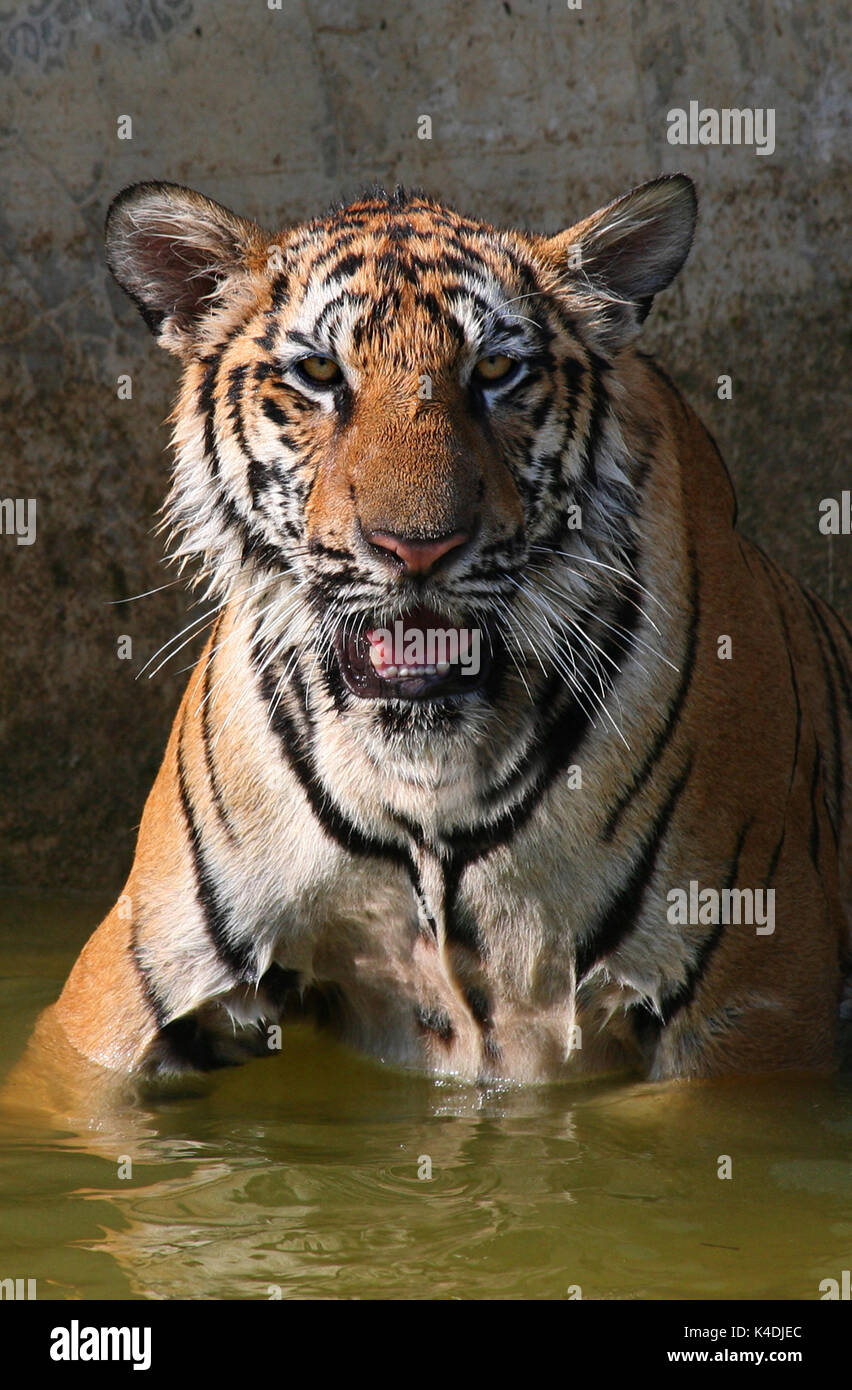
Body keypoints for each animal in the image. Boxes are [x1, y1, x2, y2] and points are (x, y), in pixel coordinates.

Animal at [14, 173, 850, 1089]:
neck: (424, 789)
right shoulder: (131, 982)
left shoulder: (752, 1009)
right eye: (319, 372)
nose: (417, 547)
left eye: (494, 370)